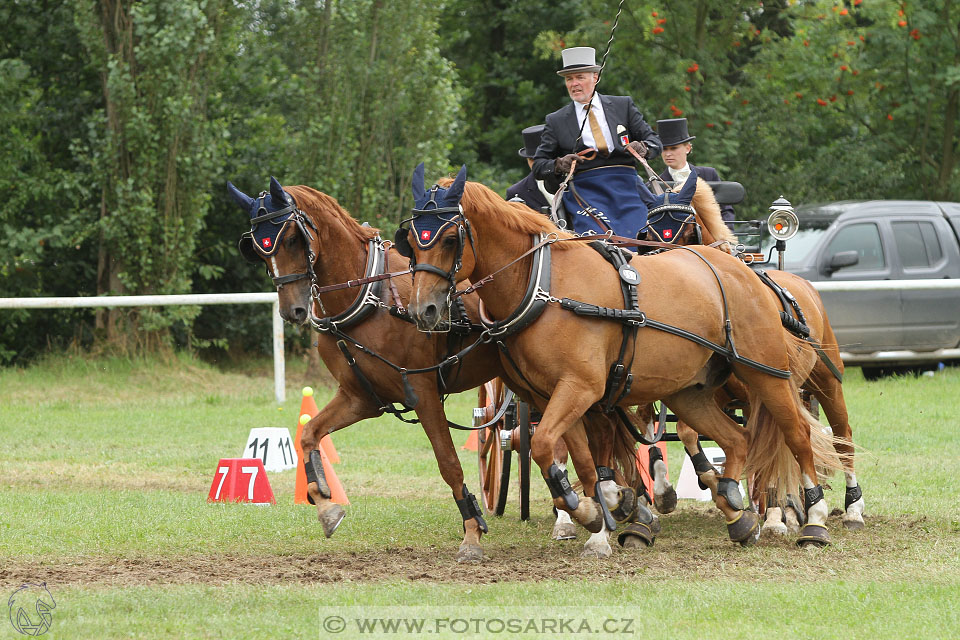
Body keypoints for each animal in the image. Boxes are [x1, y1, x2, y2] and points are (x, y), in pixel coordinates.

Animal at [402, 165, 844, 544]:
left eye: (449, 238)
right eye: (411, 242)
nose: (424, 310)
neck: (544, 286)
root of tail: (747, 271)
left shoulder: (580, 387)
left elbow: (548, 446)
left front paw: (601, 507)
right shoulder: (553, 396)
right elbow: (571, 455)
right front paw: (604, 507)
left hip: (767, 374)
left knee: (800, 435)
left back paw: (813, 519)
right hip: (690, 391)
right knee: (736, 440)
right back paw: (736, 509)